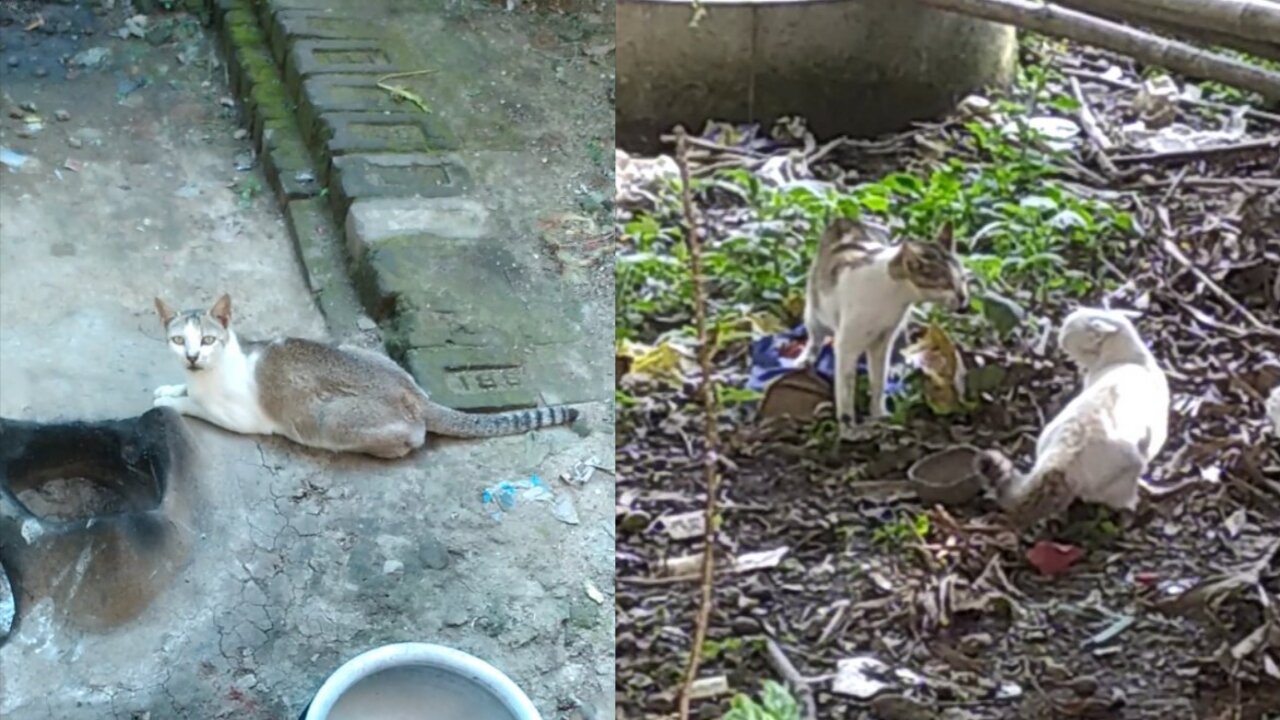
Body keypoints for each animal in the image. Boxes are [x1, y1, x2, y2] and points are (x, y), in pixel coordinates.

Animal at [153, 293, 581, 456]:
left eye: (208, 339)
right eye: (178, 340)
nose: (192, 356)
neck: (206, 375)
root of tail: (414, 395)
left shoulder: (239, 418)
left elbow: (193, 406)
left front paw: (170, 400)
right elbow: (180, 389)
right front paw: (169, 386)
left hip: (331, 420)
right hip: (356, 348)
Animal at [798, 215, 967, 438]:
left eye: (963, 279)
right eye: (945, 284)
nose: (964, 300)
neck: (894, 298)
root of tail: (845, 219)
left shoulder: (883, 340)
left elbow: (879, 380)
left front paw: (878, 413)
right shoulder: (846, 346)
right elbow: (845, 389)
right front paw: (848, 428)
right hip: (815, 313)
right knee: (815, 337)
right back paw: (806, 357)